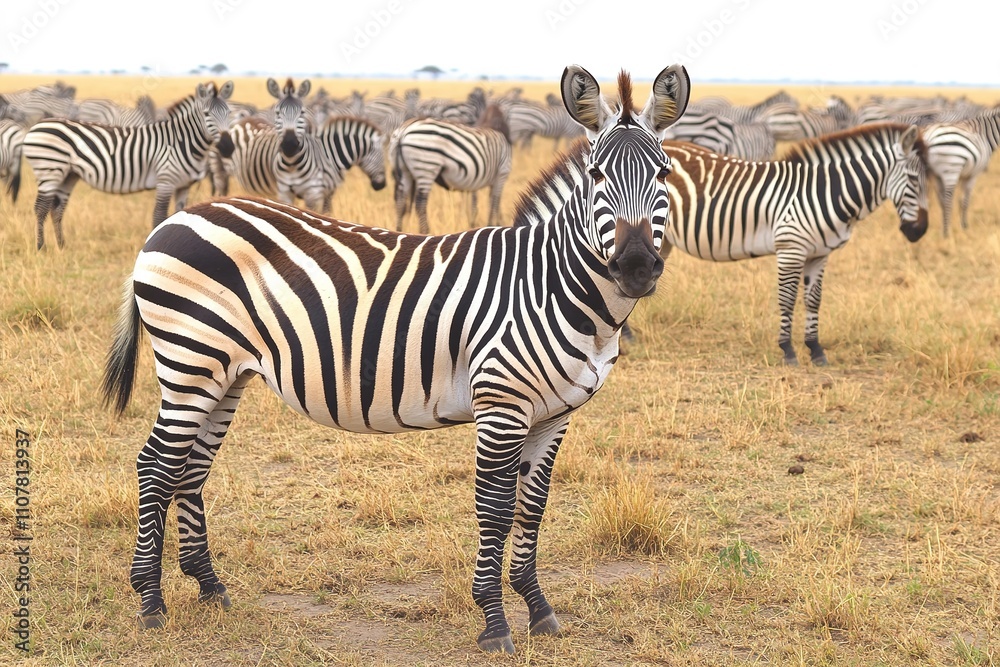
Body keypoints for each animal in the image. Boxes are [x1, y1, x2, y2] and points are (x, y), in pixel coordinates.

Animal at [23, 82, 234, 249]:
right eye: (206, 114)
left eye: (230, 114)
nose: (228, 147)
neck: (181, 141)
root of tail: (36, 126)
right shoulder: (166, 181)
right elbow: (159, 217)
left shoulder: (183, 186)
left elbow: (178, 216)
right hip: (49, 170)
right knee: (40, 208)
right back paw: (41, 248)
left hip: (68, 175)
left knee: (56, 209)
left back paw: (62, 246)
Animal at [100, 64, 689, 655]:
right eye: (596, 175)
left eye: (663, 175)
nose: (636, 266)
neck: (549, 284)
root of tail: (173, 221)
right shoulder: (501, 407)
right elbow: (496, 510)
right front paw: (494, 621)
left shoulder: (555, 414)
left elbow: (533, 509)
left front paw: (539, 608)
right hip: (190, 363)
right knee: (156, 466)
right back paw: (150, 601)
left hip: (224, 374)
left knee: (190, 468)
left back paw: (209, 586)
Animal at [658, 123, 928, 365]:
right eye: (914, 180)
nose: (920, 231)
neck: (823, 193)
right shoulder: (791, 249)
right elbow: (787, 299)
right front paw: (787, 350)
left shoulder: (819, 254)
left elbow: (813, 300)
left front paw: (815, 349)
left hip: (665, 239)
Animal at [922, 107, 1000, 237]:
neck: (985, 133)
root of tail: (929, 136)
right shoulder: (972, 175)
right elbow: (965, 202)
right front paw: (965, 226)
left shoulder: (963, 175)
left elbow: (960, 201)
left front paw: (961, 225)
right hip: (951, 170)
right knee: (947, 201)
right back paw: (946, 234)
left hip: (934, 175)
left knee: (940, 201)